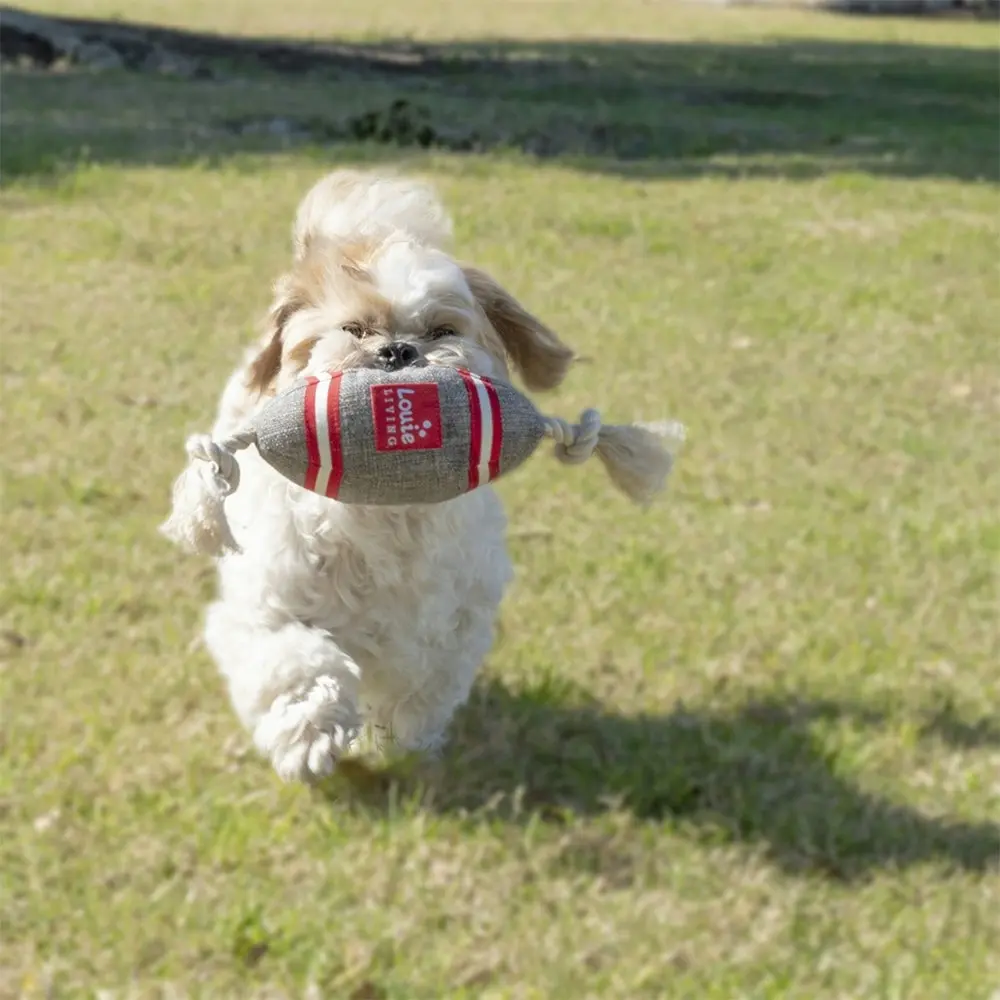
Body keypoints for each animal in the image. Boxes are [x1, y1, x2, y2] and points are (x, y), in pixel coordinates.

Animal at [166, 168, 572, 784]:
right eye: (354, 329)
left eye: (441, 330)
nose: (397, 350)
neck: (382, 515)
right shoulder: (265, 610)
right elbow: (297, 664)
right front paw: (311, 736)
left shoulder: (452, 622)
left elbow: (422, 684)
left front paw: (401, 741)